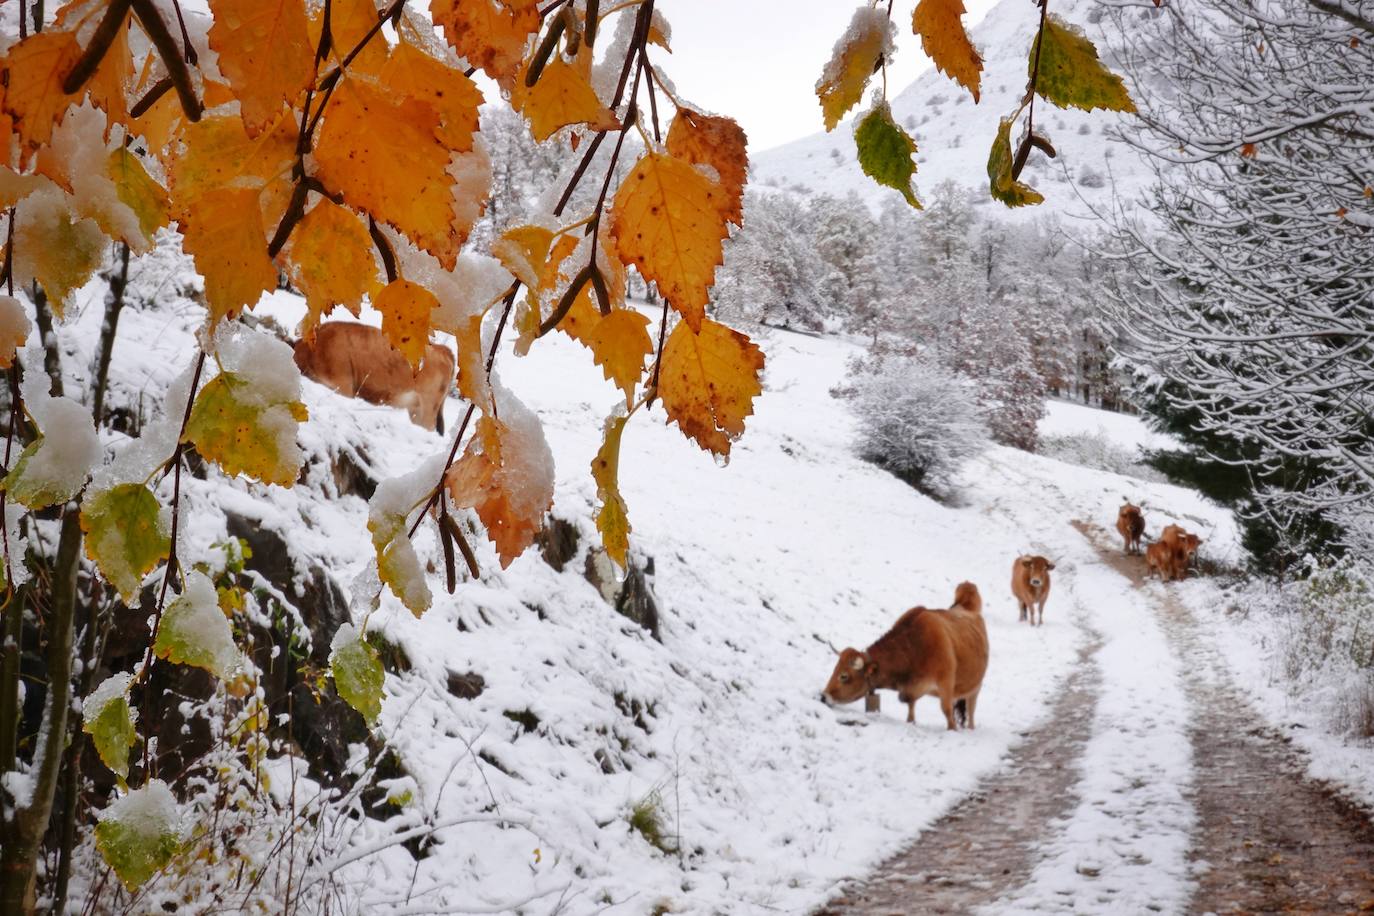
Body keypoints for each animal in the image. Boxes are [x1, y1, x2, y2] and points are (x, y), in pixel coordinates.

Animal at [818, 587, 994, 730]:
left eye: (844, 676)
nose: (823, 696)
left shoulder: (946, 683)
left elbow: (946, 711)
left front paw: (952, 730)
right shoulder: (912, 689)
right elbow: (910, 708)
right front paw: (911, 722)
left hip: (976, 687)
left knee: (971, 710)